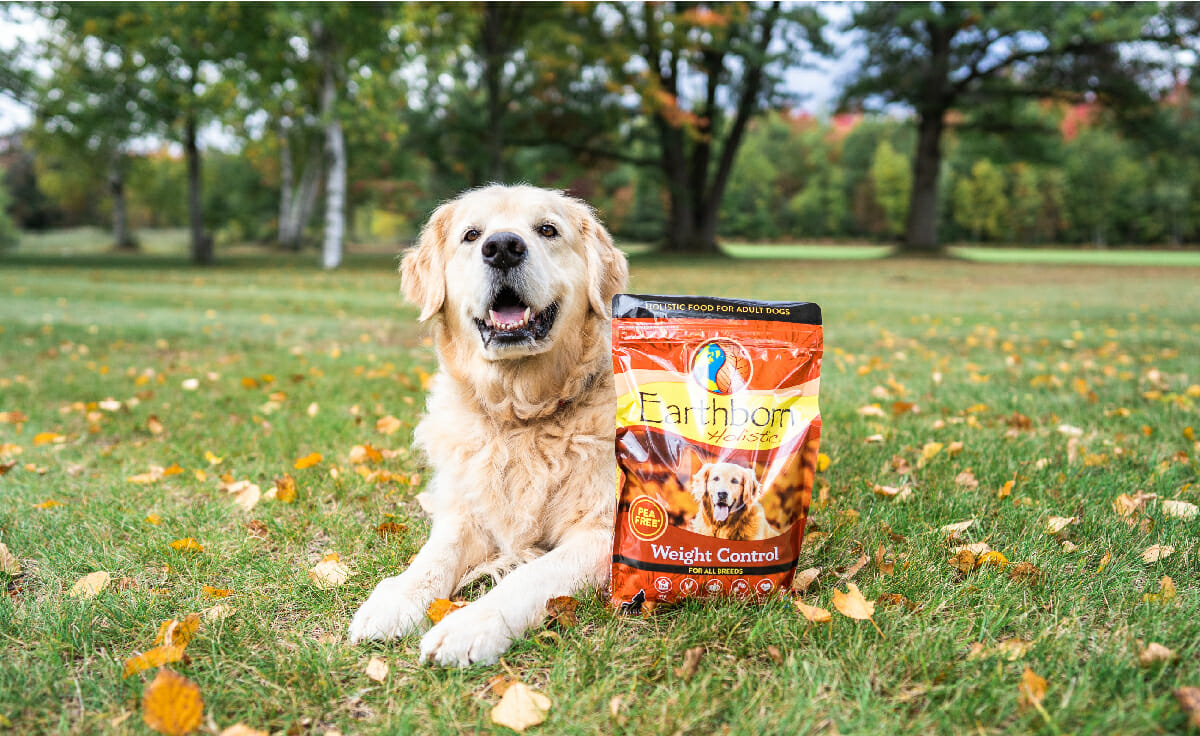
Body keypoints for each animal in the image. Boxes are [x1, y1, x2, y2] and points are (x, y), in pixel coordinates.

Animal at [348, 183, 628, 667]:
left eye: (547, 229)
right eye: (472, 234)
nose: (502, 248)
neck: (520, 418)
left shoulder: (601, 532)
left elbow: (531, 575)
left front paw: (468, 625)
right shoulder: (466, 510)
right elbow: (434, 556)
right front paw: (394, 600)